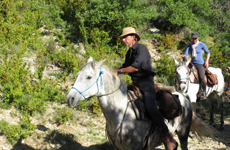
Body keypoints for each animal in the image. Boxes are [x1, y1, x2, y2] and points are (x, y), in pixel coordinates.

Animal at [66, 56, 216, 149]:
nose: (70, 98)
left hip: (183, 134)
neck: (121, 112)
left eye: (89, 77)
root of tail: (184, 97)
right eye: (77, 75)